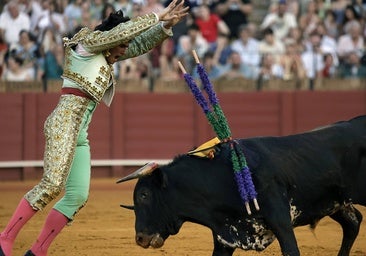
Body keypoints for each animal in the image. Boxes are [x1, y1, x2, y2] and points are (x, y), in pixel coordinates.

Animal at [117, 115, 366, 255]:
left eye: (144, 195)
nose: (140, 238)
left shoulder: (282, 224)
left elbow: (291, 250)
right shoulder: (224, 238)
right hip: (336, 203)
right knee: (353, 222)